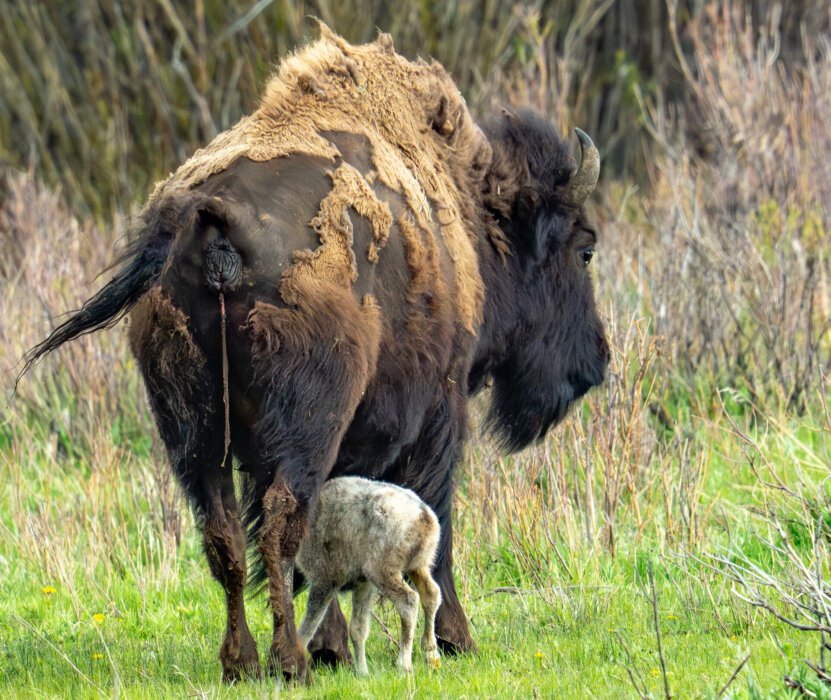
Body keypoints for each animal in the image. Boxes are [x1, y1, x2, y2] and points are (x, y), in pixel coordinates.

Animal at [296, 476, 446, 672]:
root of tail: (424, 518)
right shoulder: (363, 583)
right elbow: (357, 629)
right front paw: (361, 672)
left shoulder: (324, 578)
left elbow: (309, 625)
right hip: (419, 563)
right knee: (431, 593)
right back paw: (431, 652)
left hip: (381, 568)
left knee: (409, 600)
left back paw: (404, 664)